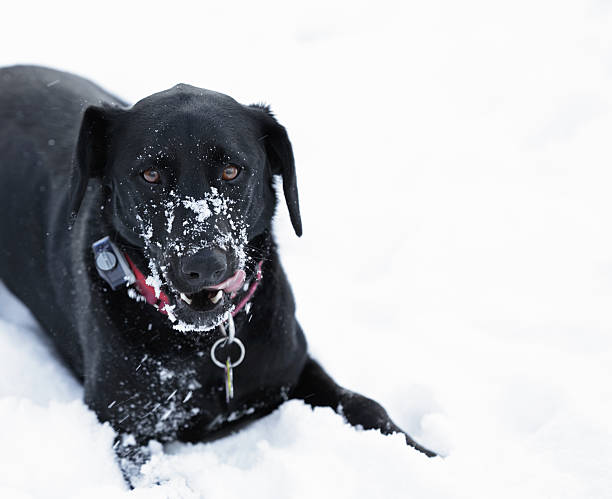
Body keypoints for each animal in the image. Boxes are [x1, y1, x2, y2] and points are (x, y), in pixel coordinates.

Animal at [0, 65, 436, 480]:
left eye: (231, 171)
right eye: (150, 175)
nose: (205, 264)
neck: (204, 345)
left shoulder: (293, 368)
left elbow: (366, 406)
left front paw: (430, 456)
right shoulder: (127, 425)